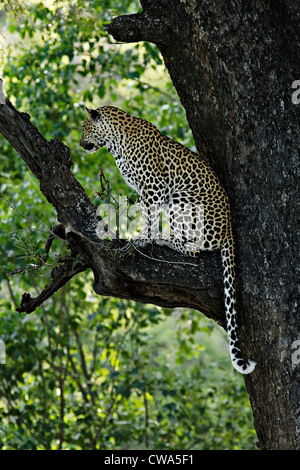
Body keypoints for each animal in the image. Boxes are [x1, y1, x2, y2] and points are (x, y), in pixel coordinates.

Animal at [79, 105, 255, 374]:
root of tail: (229, 232)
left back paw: (165, 238)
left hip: (182, 199)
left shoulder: (154, 186)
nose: (80, 144)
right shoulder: (146, 190)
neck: (116, 142)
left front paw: (142, 240)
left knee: (194, 248)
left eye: (84, 128)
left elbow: (148, 216)